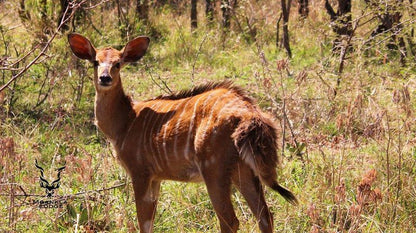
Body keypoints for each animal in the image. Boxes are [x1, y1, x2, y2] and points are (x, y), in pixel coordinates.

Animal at [67, 33, 296, 233]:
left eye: (117, 63)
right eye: (95, 62)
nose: (104, 78)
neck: (125, 121)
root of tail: (250, 114)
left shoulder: (140, 172)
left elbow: (144, 222)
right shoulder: (156, 178)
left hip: (215, 170)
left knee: (230, 221)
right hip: (244, 171)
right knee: (265, 216)